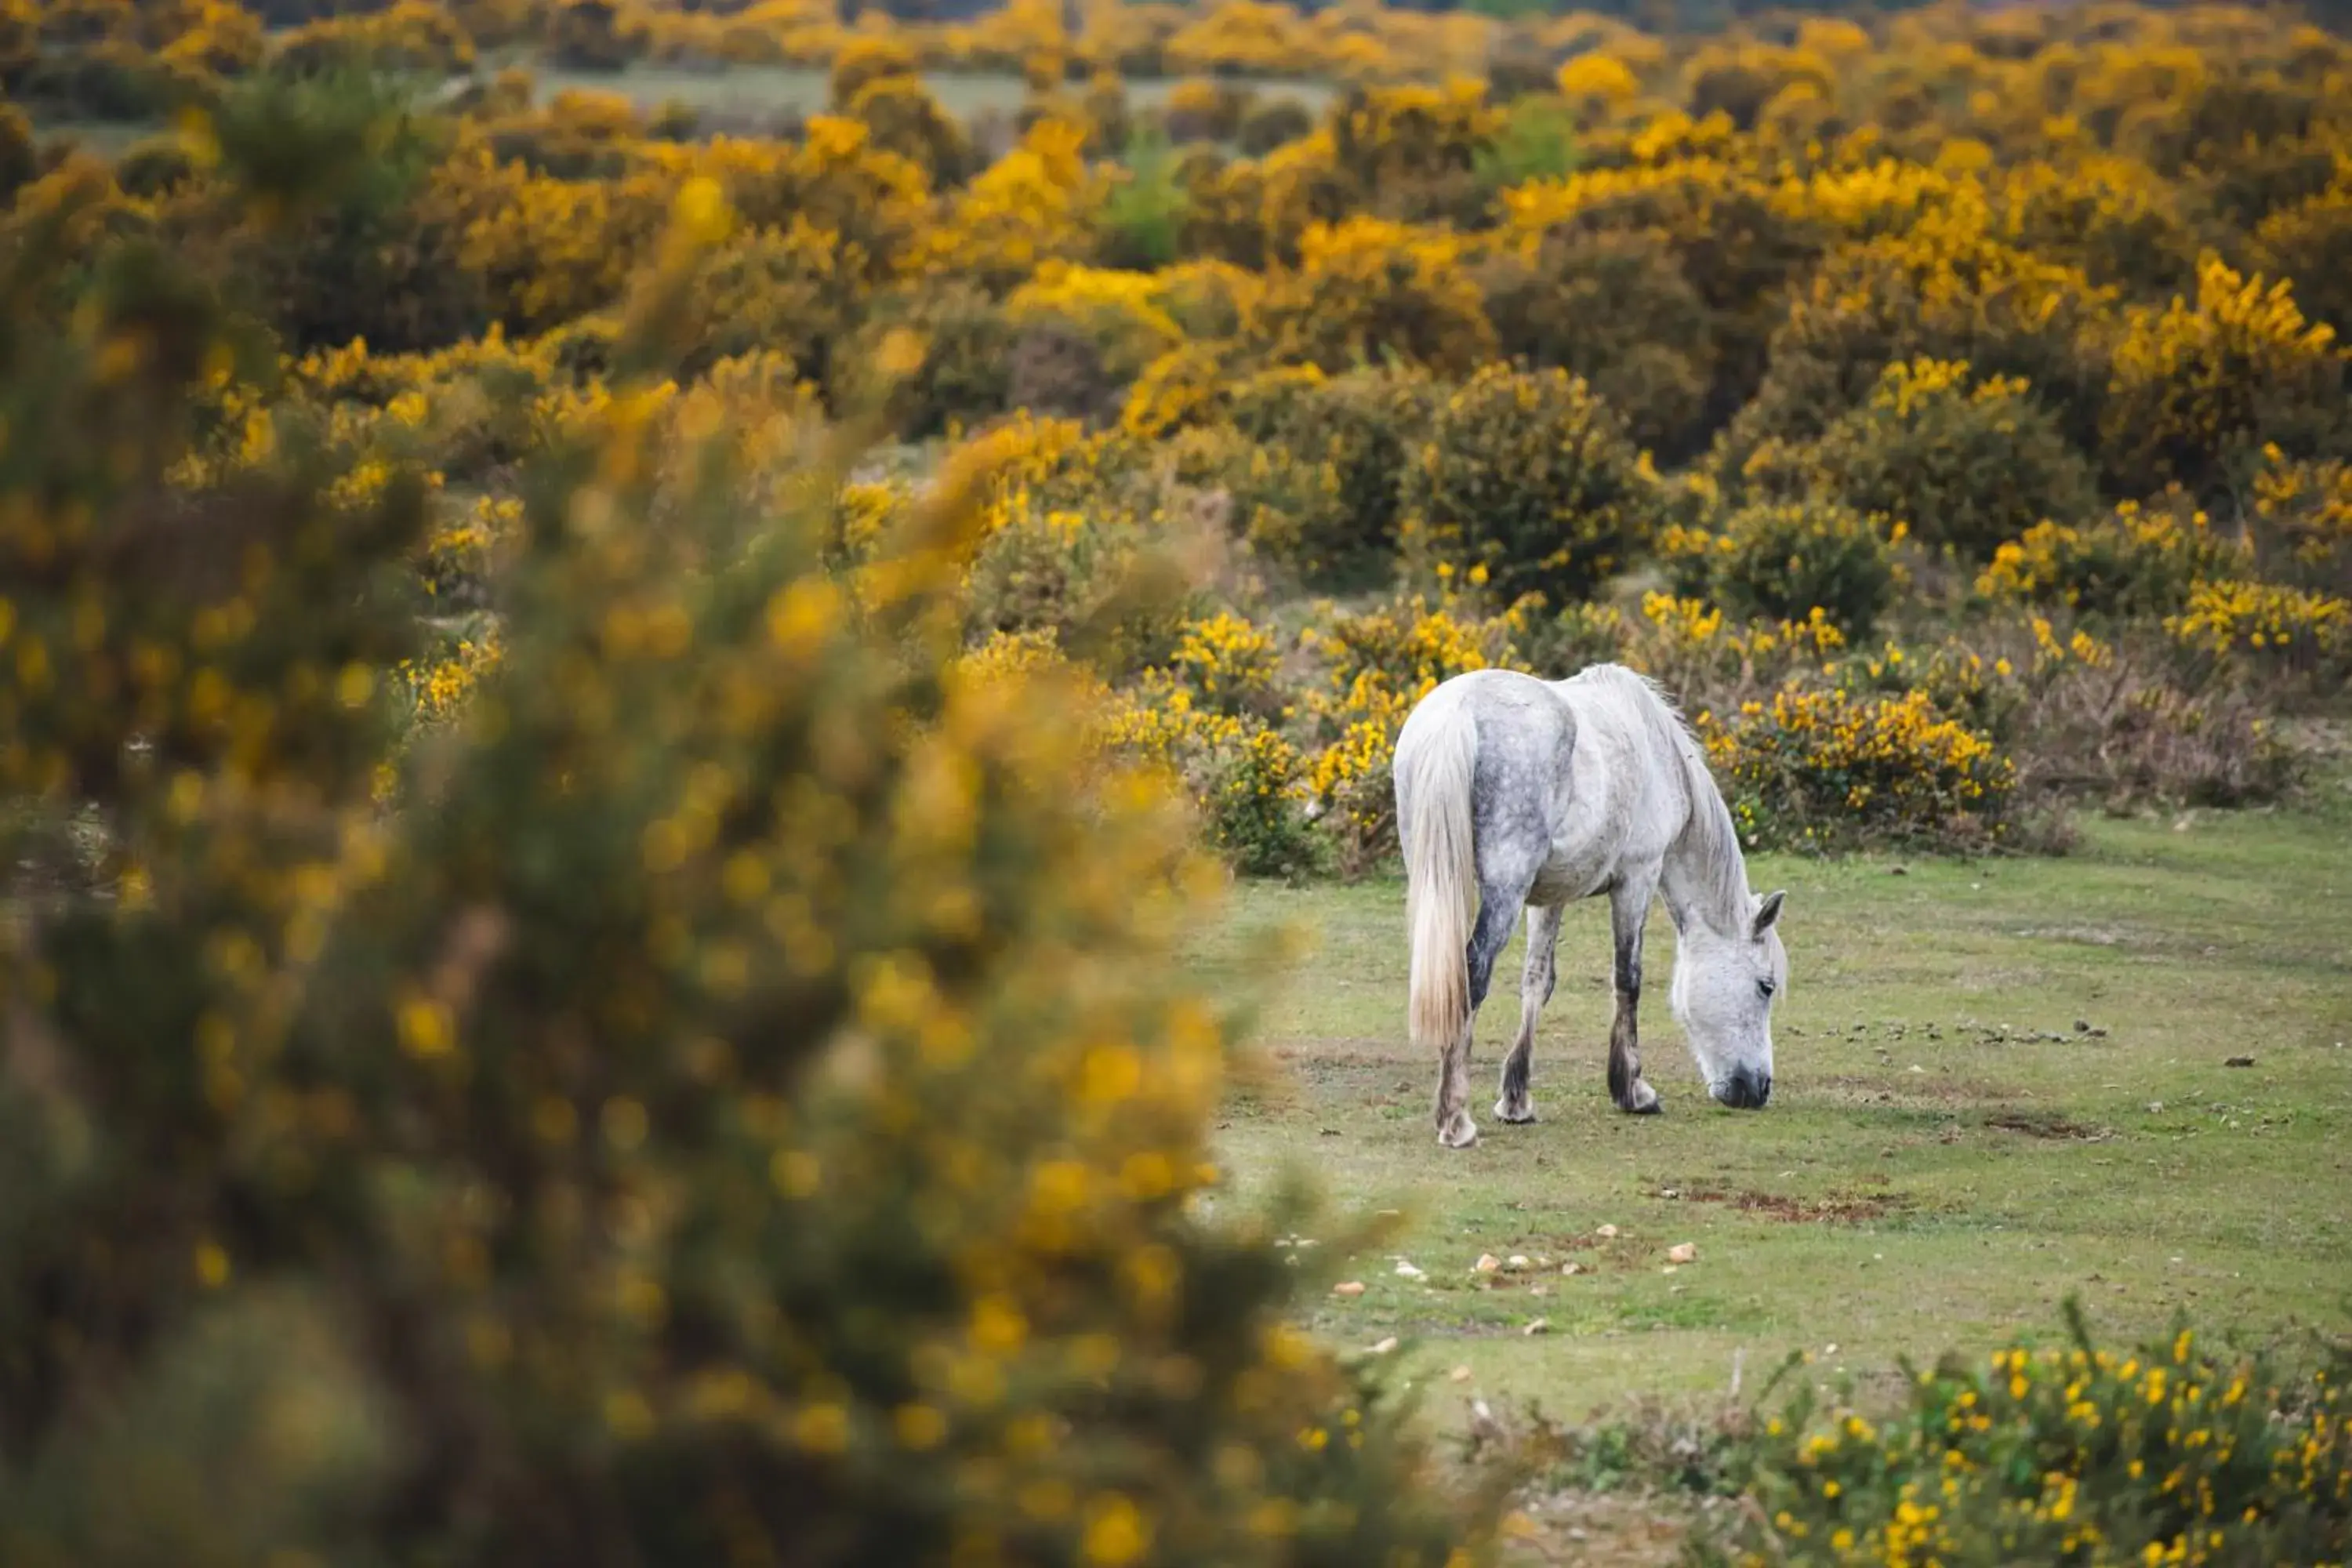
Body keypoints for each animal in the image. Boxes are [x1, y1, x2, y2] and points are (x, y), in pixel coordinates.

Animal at [1383, 667, 1788, 1152]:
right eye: (1765, 987)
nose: (1759, 1089)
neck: (1655, 752)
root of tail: (1457, 712)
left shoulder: (1548, 898)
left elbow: (1537, 983)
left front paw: (1516, 1100)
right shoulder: (1638, 878)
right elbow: (1628, 979)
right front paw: (1633, 1091)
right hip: (1504, 891)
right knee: (1473, 972)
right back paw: (1455, 1119)